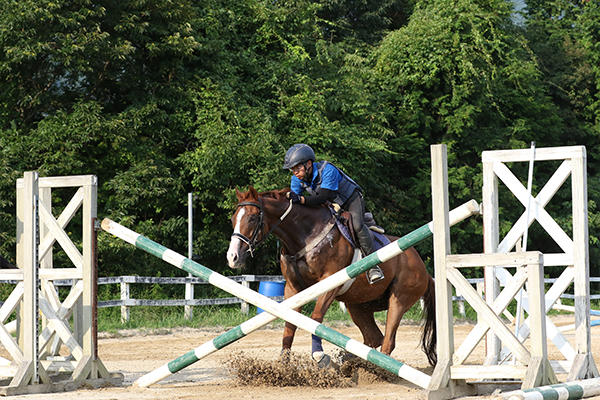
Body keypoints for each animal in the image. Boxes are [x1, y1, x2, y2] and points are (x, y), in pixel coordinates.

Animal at [225, 187, 436, 366]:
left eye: (253, 218)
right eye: (233, 219)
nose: (232, 257)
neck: (305, 235)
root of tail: (424, 270)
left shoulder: (330, 283)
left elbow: (316, 317)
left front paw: (319, 355)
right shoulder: (293, 287)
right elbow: (290, 322)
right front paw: (283, 364)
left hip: (399, 299)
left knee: (388, 340)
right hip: (358, 305)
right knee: (373, 337)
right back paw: (351, 360)